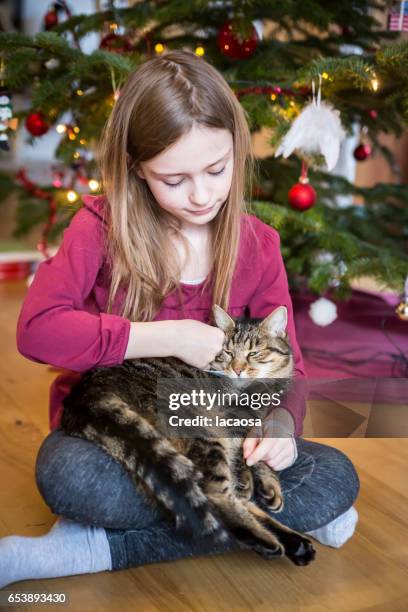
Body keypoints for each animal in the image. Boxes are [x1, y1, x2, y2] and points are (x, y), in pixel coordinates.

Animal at [60, 304, 316, 568]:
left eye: (254, 353)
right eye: (227, 352)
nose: (237, 369)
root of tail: (86, 394)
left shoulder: (256, 423)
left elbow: (260, 450)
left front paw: (266, 482)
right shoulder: (231, 423)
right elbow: (241, 457)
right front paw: (250, 479)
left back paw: (295, 543)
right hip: (204, 428)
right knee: (214, 494)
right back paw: (268, 540)